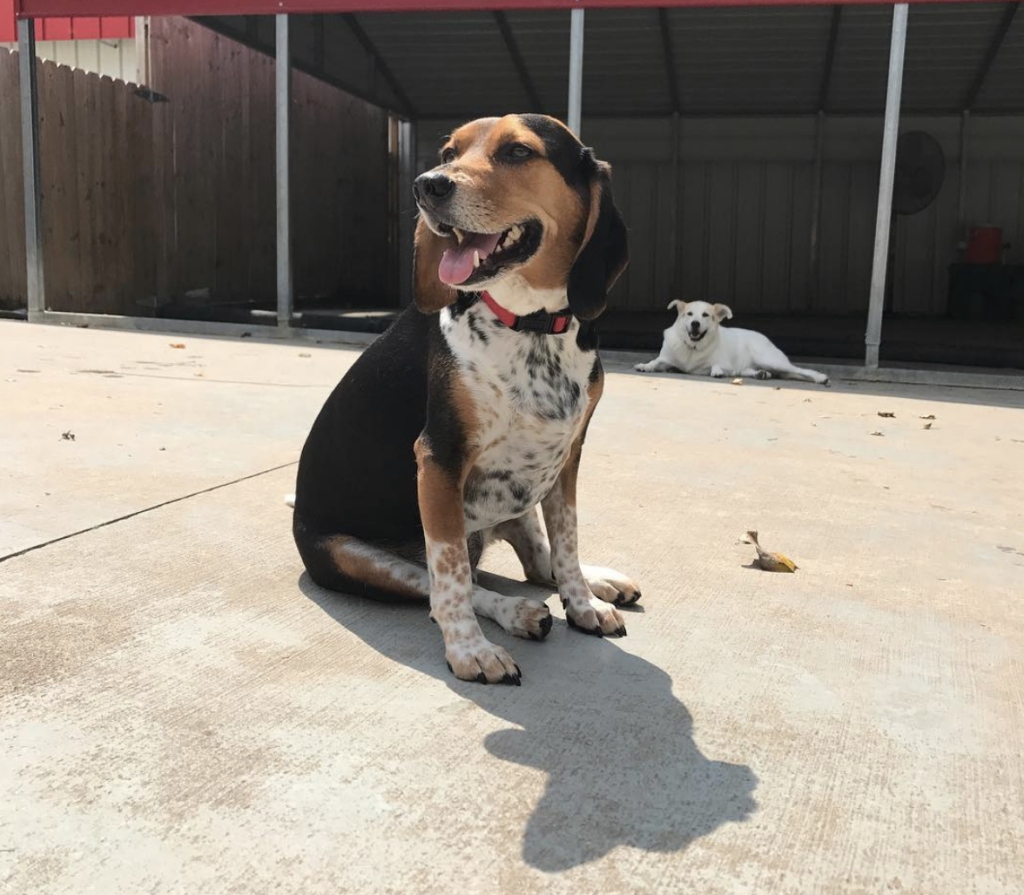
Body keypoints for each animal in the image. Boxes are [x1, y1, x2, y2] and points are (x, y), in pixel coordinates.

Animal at [290, 113, 638, 684]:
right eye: (448, 152)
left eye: (518, 151)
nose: (426, 185)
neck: (530, 326)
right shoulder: (438, 461)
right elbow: (450, 574)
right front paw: (469, 650)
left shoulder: (568, 459)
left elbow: (566, 541)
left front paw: (584, 603)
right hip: (352, 555)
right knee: (445, 587)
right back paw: (515, 612)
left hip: (524, 496)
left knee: (536, 561)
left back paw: (597, 581)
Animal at [634, 299, 827, 382]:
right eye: (689, 314)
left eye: (706, 315)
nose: (695, 323)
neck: (693, 348)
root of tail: (765, 338)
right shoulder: (666, 359)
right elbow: (655, 361)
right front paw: (645, 366)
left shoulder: (727, 365)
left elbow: (716, 365)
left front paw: (717, 371)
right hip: (754, 366)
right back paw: (761, 374)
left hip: (769, 359)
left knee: (799, 369)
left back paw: (821, 378)